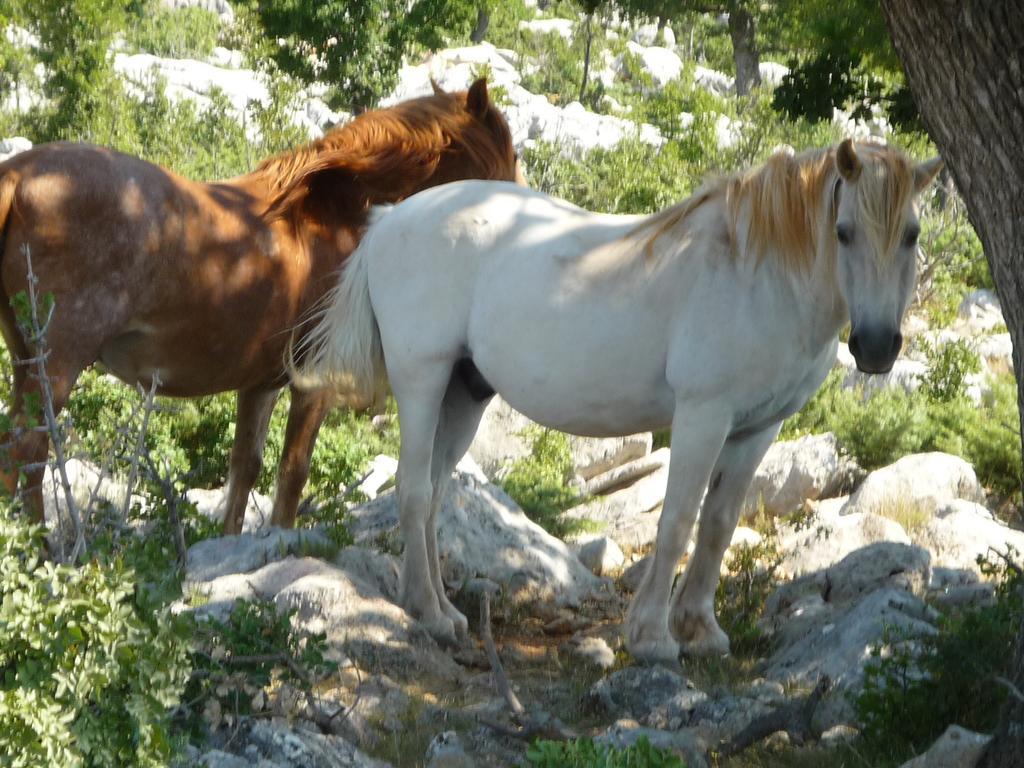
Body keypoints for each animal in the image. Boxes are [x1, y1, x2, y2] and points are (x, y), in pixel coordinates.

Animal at [0, 79, 516, 536]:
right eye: (509, 157)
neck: (336, 215)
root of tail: (19, 174)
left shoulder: (260, 384)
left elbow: (244, 467)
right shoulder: (316, 381)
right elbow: (293, 471)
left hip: (24, 360)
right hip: (57, 363)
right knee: (27, 452)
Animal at [299, 140, 942, 667]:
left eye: (911, 234)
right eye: (844, 231)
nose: (876, 346)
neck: (757, 274)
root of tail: (391, 219)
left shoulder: (758, 429)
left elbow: (718, 525)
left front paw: (701, 630)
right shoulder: (703, 416)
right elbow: (677, 521)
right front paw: (653, 636)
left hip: (464, 394)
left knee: (432, 495)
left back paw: (435, 608)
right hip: (422, 381)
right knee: (412, 491)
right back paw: (430, 616)